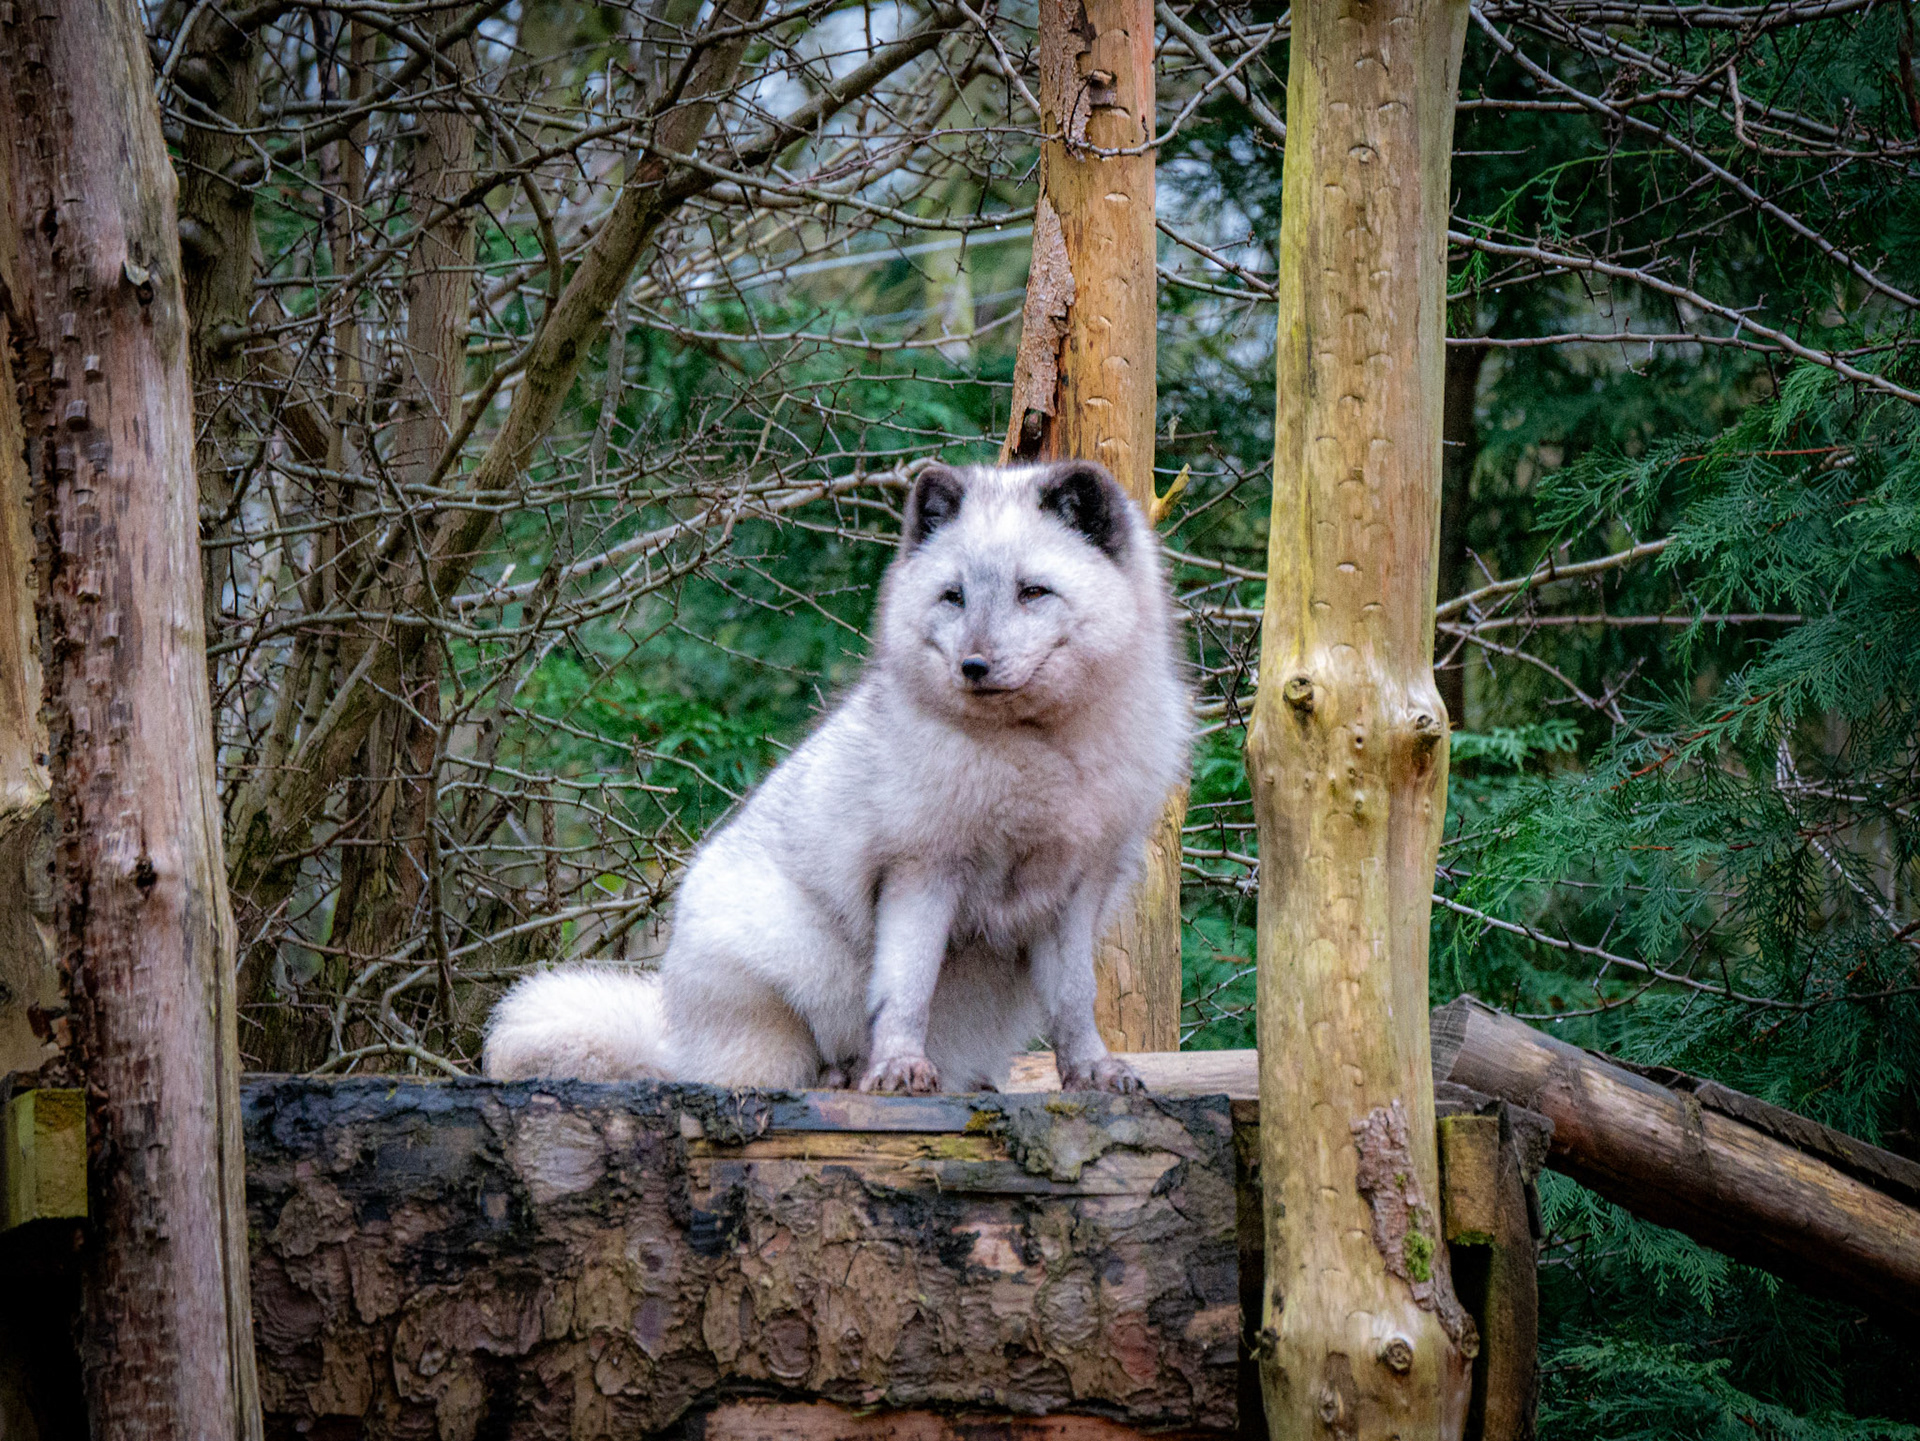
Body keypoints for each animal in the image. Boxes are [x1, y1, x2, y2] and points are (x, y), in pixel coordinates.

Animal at [483, 457, 1190, 1094]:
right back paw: (840, 1075)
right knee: (777, 1065)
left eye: (1033, 592)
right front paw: (899, 1070)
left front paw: (1092, 1073)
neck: (1039, 753)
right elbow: (906, 989)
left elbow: (1074, 998)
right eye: (954, 597)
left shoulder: (1077, 886)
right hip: (790, 963)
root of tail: (678, 1040)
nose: (973, 666)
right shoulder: (920, 869)